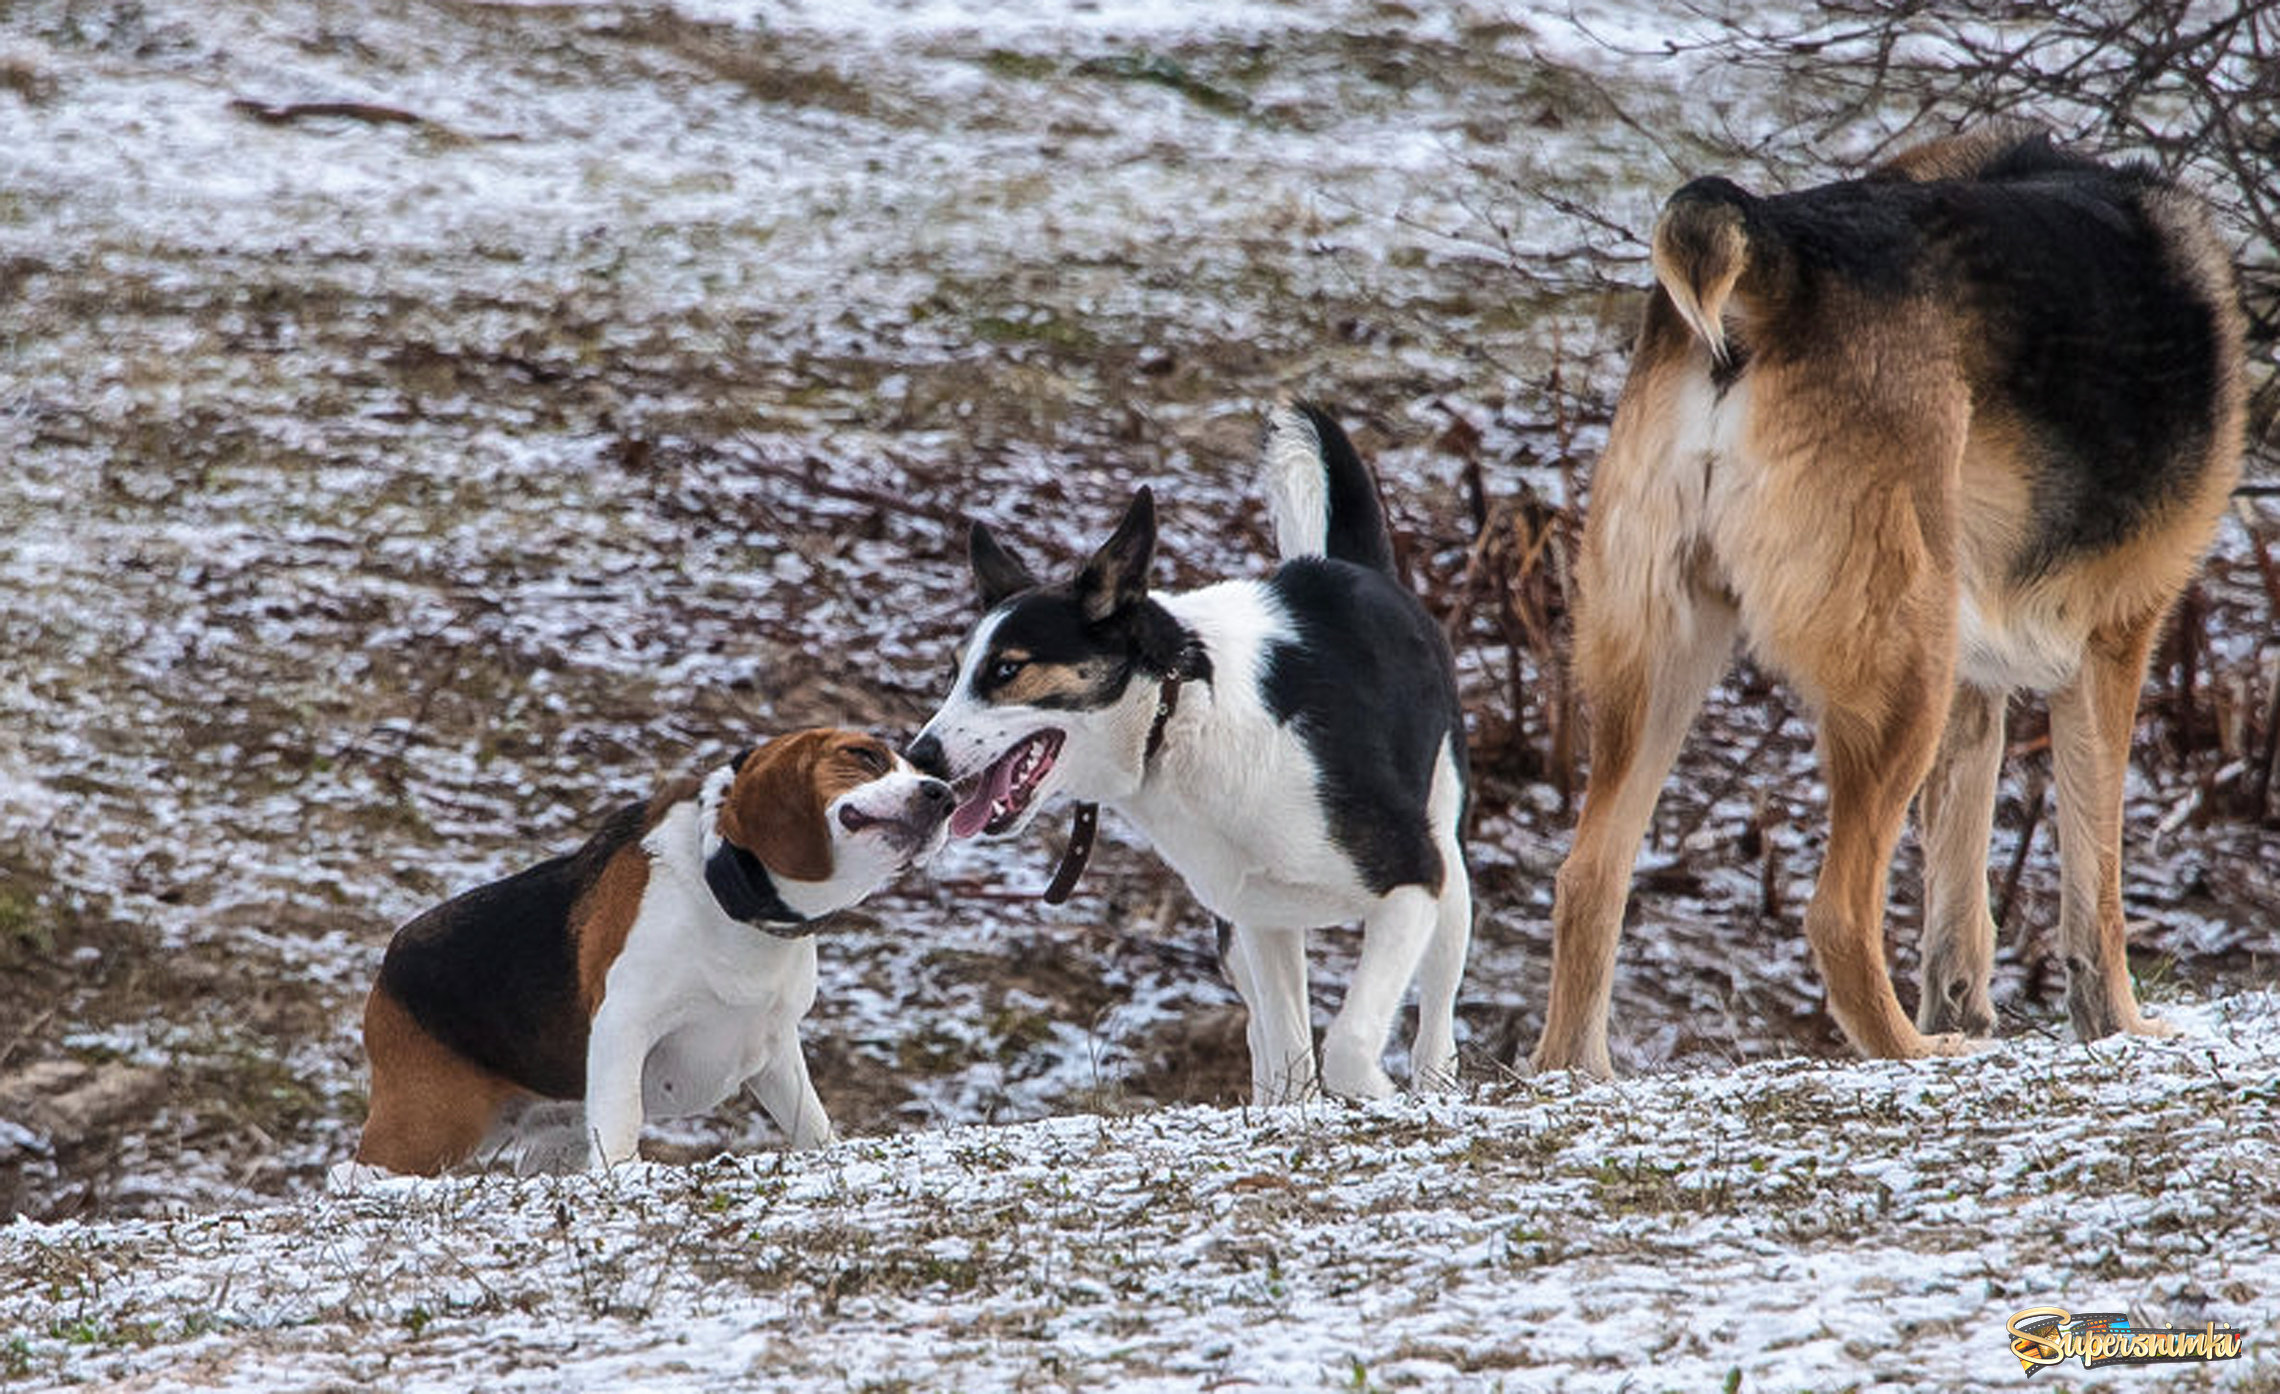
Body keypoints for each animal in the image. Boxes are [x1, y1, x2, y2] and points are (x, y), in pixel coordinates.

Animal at [339, 730, 953, 1177]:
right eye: (864, 756)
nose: (944, 795)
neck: (730, 902)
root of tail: (389, 962)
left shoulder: (775, 1048)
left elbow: (811, 1122)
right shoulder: (624, 1023)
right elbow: (622, 1118)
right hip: (430, 1127)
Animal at [898, 403, 1468, 1099]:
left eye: (1007, 670)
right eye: (954, 672)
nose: (921, 756)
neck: (1178, 716)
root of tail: (1352, 566)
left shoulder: (1413, 881)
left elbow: (1349, 1045)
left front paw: (1381, 1097)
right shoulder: (1259, 920)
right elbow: (1292, 1056)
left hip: (1448, 877)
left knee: (1436, 1014)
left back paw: (1437, 1083)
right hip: (1237, 936)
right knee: (1266, 1039)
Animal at [1532, 122, 2243, 1081]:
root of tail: (1774, 246)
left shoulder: (1979, 689)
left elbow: (1959, 897)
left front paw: (1972, 1010)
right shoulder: (2112, 645)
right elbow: (2096, 882)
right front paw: (2116, 1027)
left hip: (1666, 665)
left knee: (1590, 875)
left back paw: (1578, 1073)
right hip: (1903, 671)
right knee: (1837, 911)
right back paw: (1910, 1048)